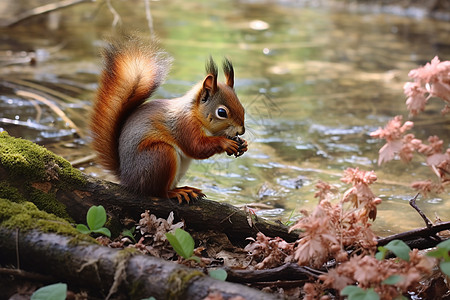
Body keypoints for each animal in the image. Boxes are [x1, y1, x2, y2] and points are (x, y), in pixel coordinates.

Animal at [90, 35, 248, 204]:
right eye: (221, 112)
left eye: (242, 107)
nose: (242, 130)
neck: (195, 114)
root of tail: (128, 179)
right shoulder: (184, 125)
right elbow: (196, 147)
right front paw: (225, 143)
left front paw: (242, 144)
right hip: (160, 156)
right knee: (157, 192)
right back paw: (176, 192)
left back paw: (186, 189)